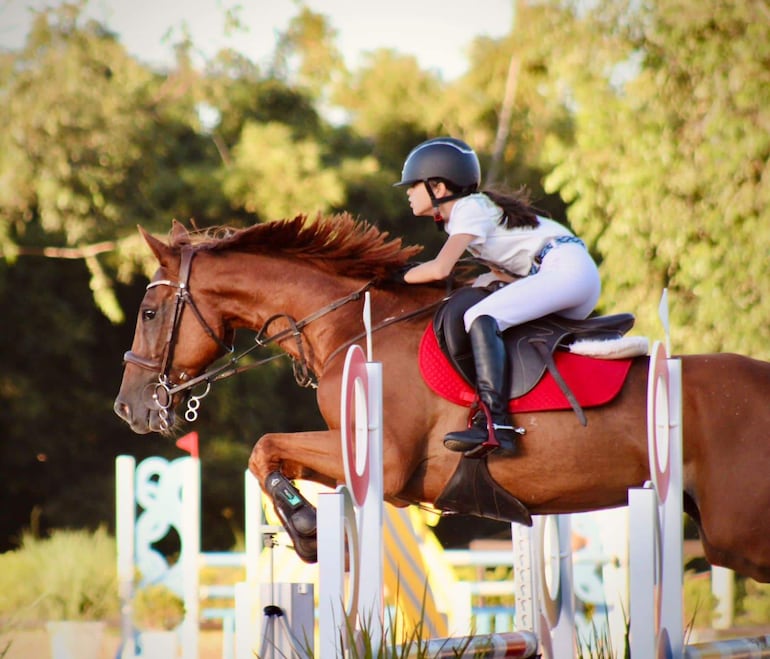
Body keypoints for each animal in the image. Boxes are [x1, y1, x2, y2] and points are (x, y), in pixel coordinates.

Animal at [112, 215, 768, 584]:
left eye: (149, 313)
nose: (130, 408)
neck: (351, 325)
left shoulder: (385, 460)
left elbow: (264, 446)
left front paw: (306, 529)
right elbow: (270, 451)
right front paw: (307, 527)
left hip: (735, 531)